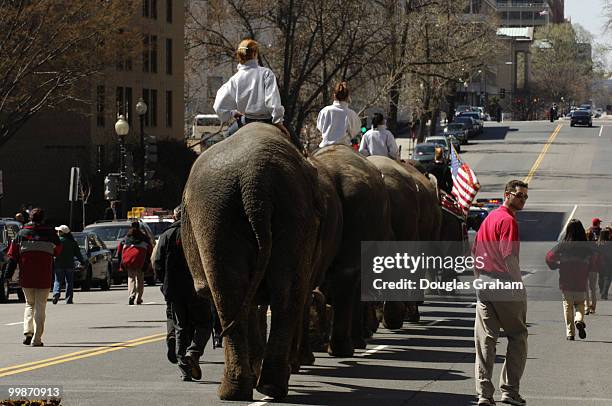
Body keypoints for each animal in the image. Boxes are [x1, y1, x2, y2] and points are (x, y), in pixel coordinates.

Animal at [182, 123, 322, 400]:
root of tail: (255, 181)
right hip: (284, 211)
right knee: (282, 296)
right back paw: (263, 387)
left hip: (217, 214)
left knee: (231, 297)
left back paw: (237, 390)